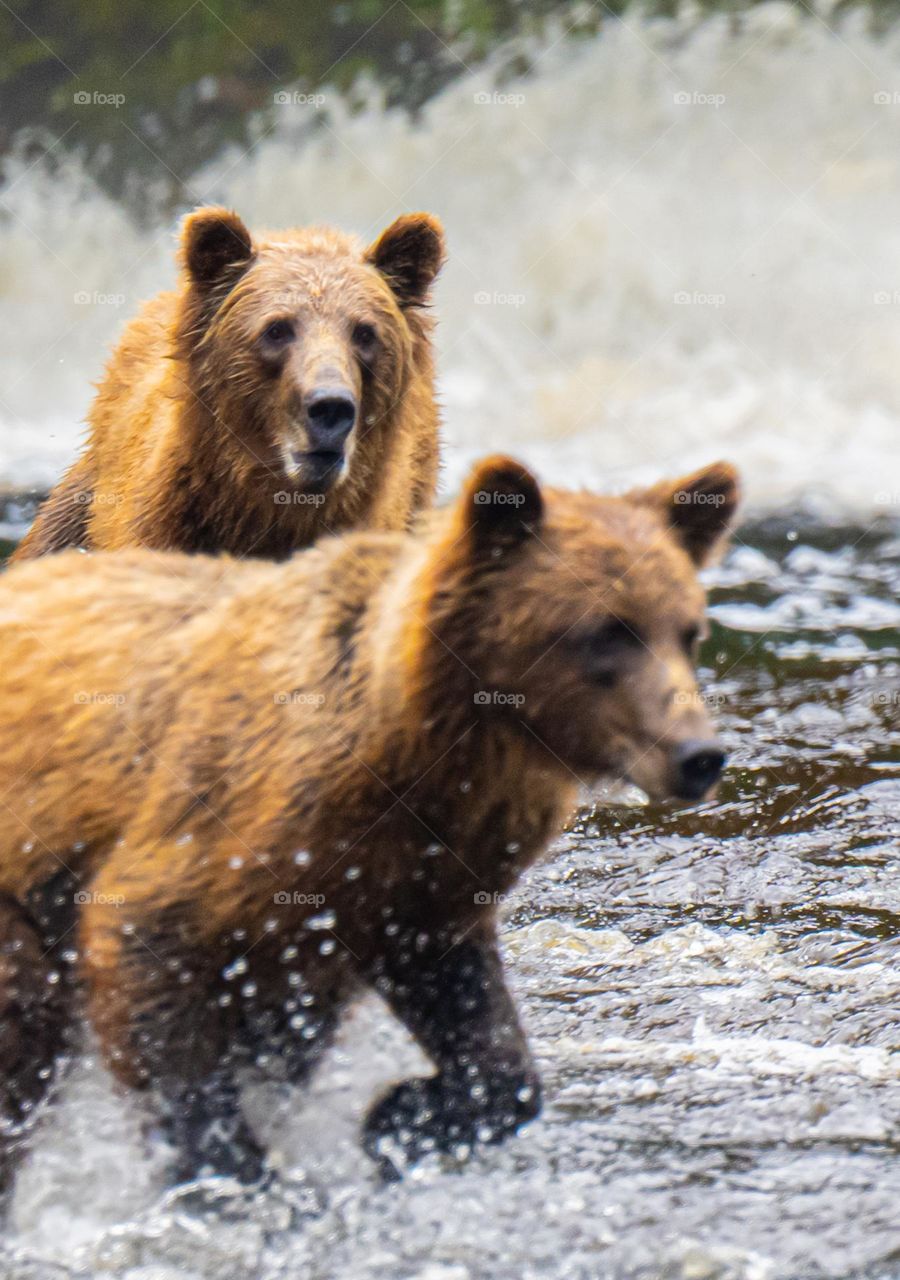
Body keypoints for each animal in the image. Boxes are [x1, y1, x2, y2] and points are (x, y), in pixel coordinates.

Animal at [0, 454, 739, 1188]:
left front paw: (401, 1115)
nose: (698, 754)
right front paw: (228, 1168)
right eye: (608, 631)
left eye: (689, 631)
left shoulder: (431, 874)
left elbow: (473, 1018)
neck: (412, 743)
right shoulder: (238, 824)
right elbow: (151, 954)